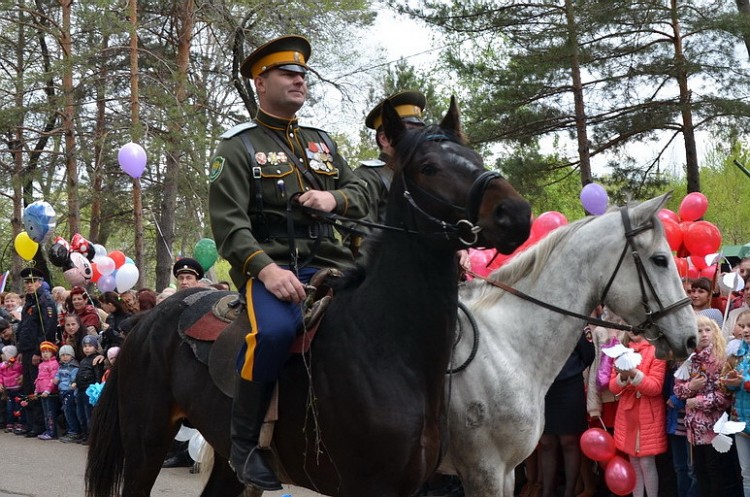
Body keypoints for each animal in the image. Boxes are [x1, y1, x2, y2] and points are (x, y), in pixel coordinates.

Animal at [86, 98, 536, 496]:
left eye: (474, 155)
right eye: (428, 167)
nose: (516, 214)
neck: (387, 346)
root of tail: (146, 322)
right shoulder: (369, 486)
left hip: (224, 461)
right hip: (146, 442)